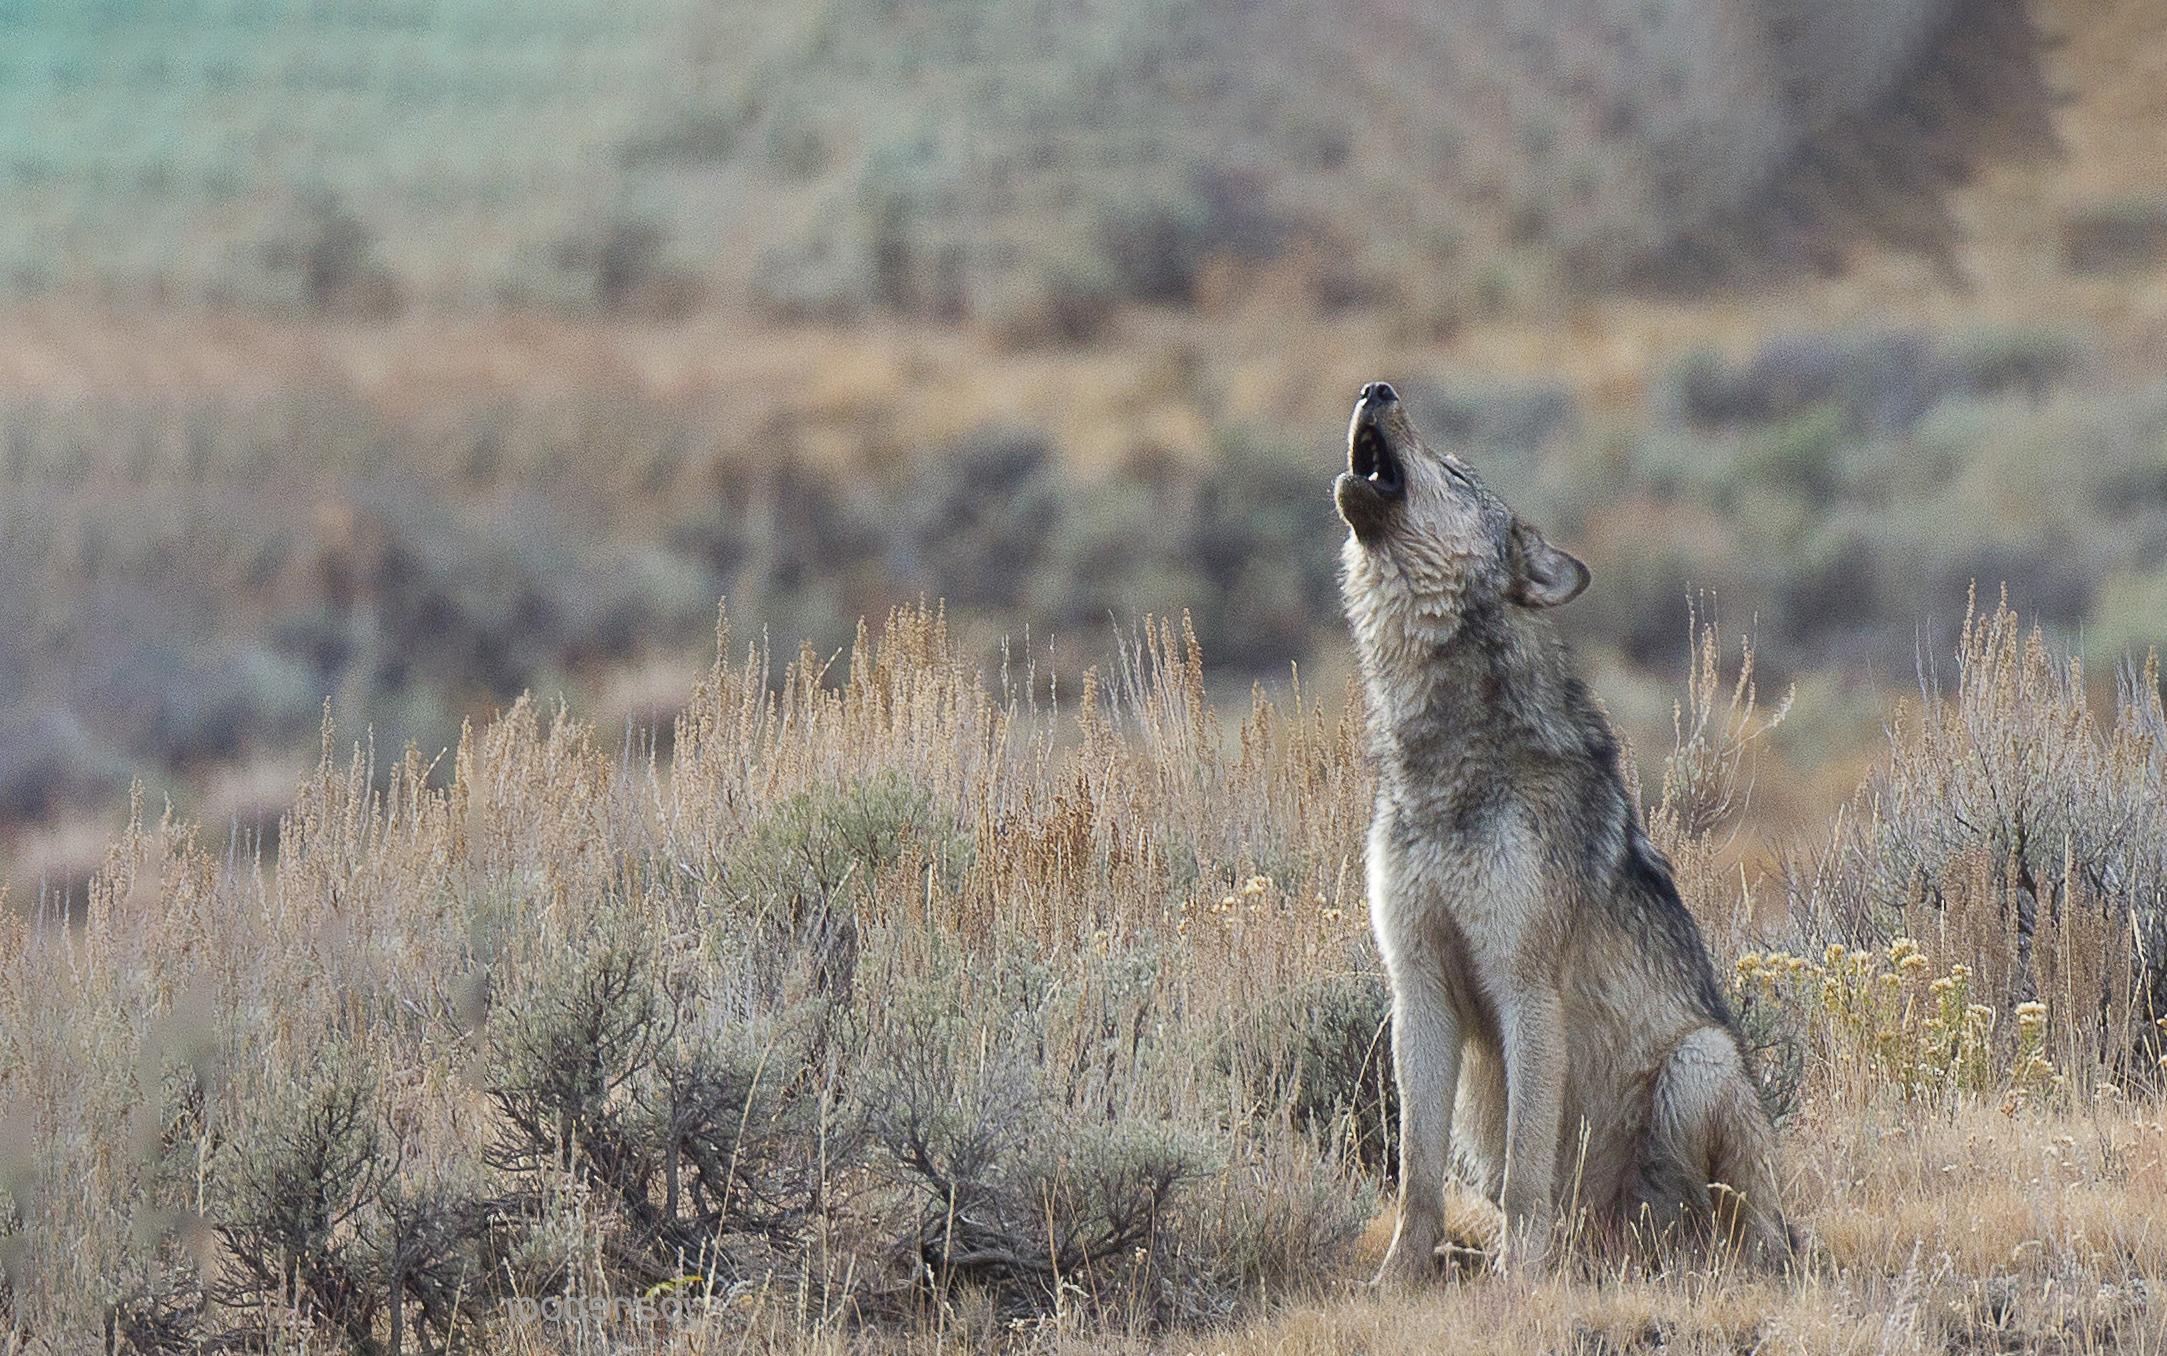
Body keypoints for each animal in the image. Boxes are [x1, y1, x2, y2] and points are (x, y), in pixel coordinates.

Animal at [1334, 381, 1794, 1273]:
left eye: (1455, 471)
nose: (1376, 387)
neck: (1447, 759)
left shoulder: (1526, 988)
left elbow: (1524, 1176)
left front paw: (1518, 1282)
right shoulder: (1417, 990)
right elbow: (1415, 1181)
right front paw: (1396, 1281)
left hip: (1701, 1060)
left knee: (1699, 1224)